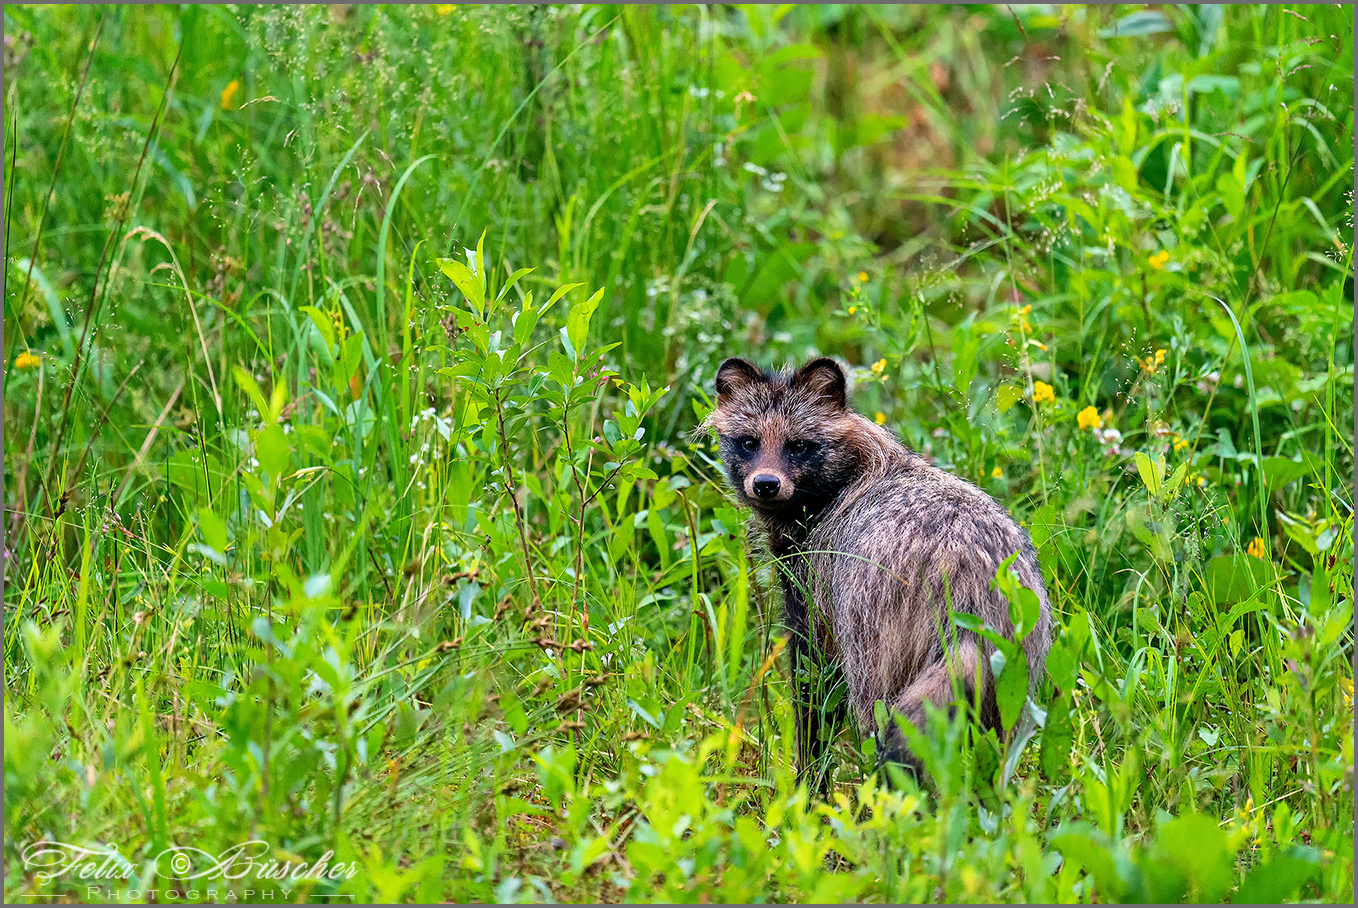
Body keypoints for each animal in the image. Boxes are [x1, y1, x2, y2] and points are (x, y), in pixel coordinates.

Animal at [706, 352, 1053, 787]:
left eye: (798, 446)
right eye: (748, 442)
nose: (766, 484)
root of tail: (971, 589)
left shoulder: (816, 583)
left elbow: (813, 684)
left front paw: (809, 782)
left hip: (878, 629)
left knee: (879, 715)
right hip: (1013, 667)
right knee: (990, 746)